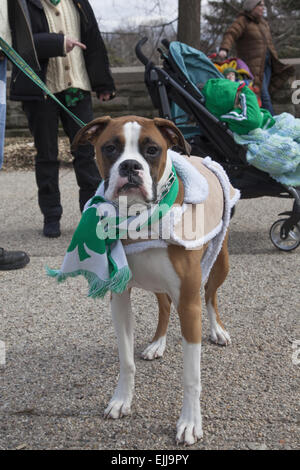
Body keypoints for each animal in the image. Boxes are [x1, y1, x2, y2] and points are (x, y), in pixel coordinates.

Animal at [72, 115, 232, 446]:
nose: (130, 166)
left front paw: (190, 422)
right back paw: (158, 343)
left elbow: (191, 376)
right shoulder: (120, 298)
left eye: (152, 150)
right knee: (164, 305)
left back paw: (218, 331)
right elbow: (126, 360)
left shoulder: (189, 303)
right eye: (110, 148)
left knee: (211, 296)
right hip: (158, 282)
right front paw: (121, 400)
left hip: (220, 262)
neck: (141, 219)